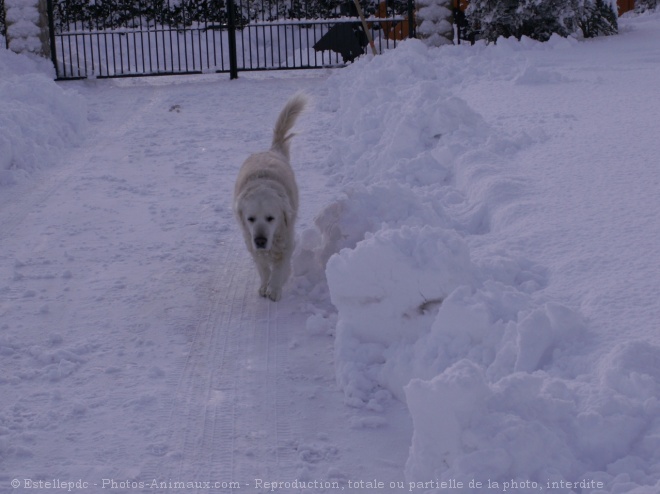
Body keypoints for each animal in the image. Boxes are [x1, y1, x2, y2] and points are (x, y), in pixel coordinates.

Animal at [233, 93, 308, 302]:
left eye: (271, 218)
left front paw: (274, 288)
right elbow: (263, 268)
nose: (260, 240)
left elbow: (280, 267)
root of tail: (272, 149)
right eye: (250, 219)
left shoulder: (287, 239)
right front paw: (264, 285)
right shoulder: (249, 241)